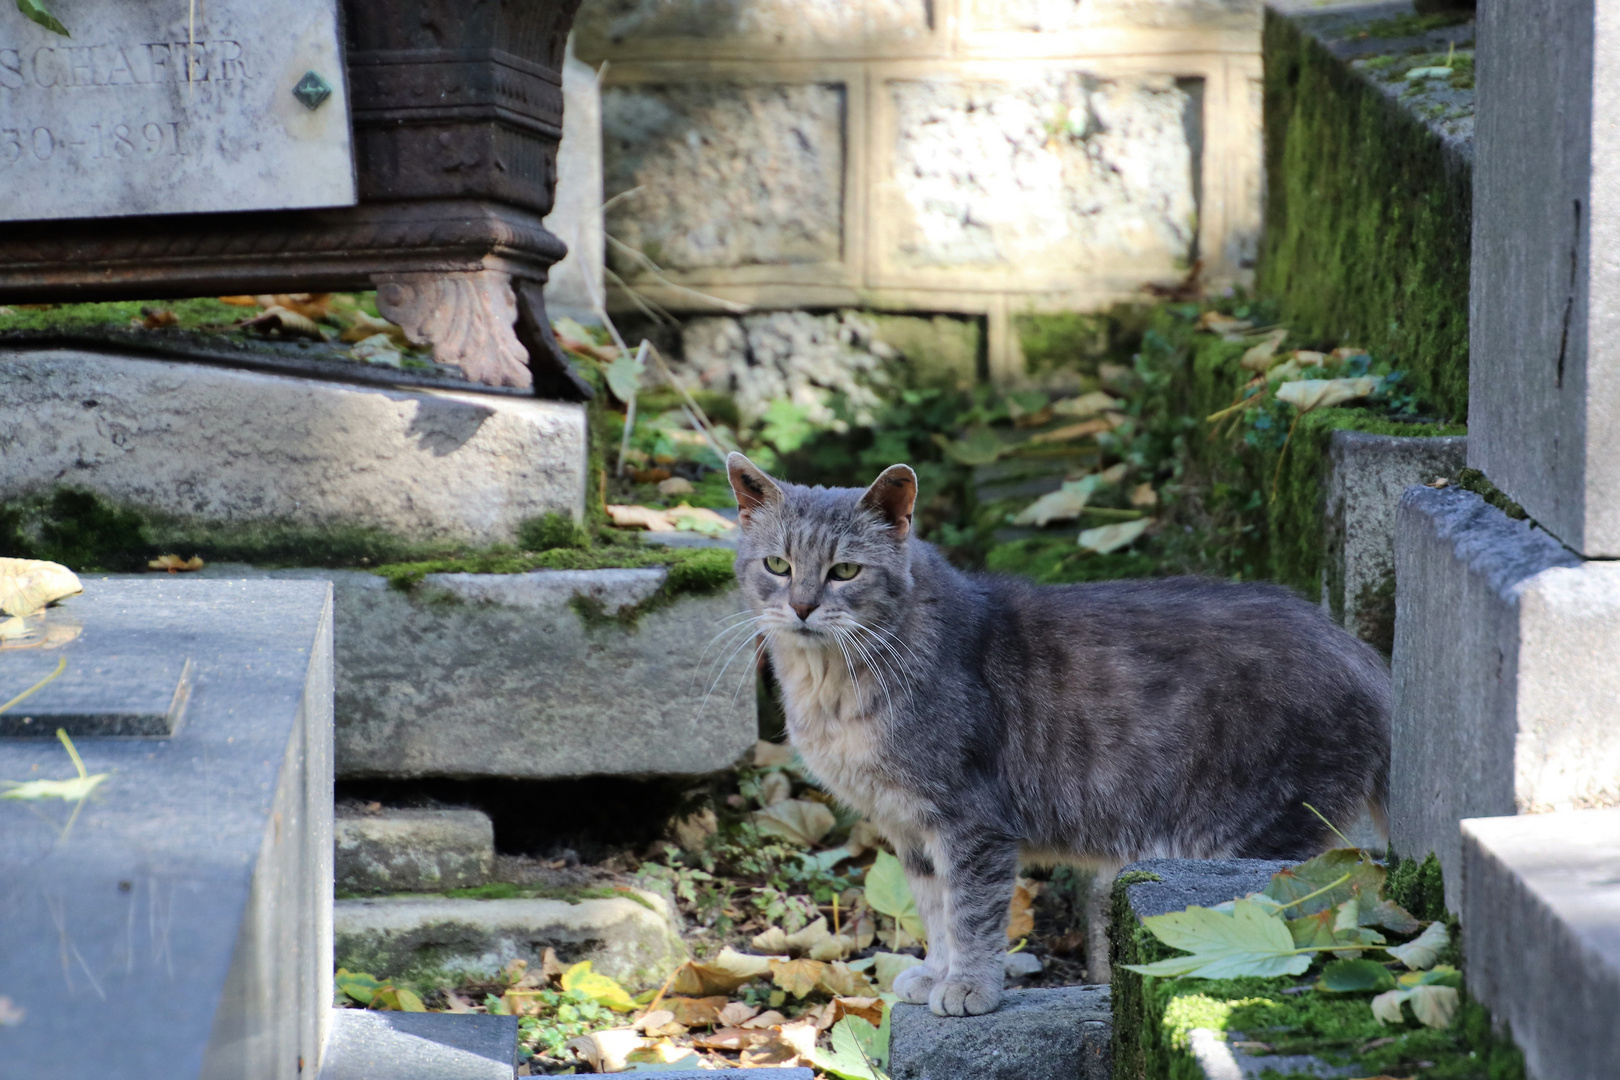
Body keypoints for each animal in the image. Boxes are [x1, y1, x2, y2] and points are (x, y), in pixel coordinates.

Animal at [729, 453, 1386, 1016]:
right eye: (778, 565)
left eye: (845, 571)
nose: (802, 607)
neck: (830, 687)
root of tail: (1365, 657)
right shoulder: (907, 826)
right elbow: (934, 908)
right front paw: (936, 972)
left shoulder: (971, 821)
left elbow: (970, 912)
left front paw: (967, 986)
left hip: (1263, 836)